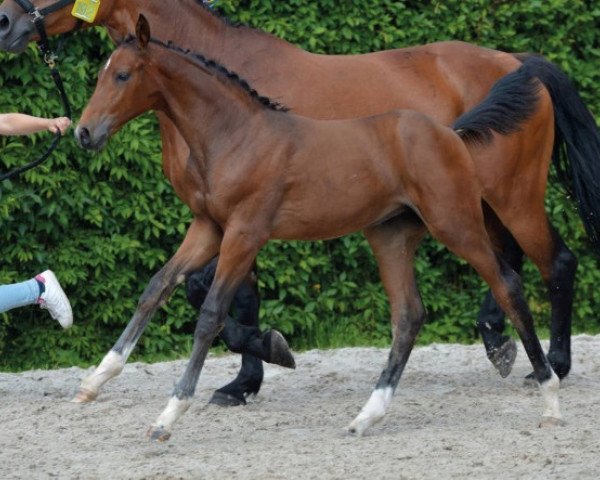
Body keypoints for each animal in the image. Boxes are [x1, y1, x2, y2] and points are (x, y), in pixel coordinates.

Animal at [76, 17, 564, 438]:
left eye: (123, 75)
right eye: (101, 75)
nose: (84, 133)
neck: (236, 134)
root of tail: (452, 134)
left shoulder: (245, 232)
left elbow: (211, 313)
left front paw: (169, 415)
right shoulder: (208, 227)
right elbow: (157, 287)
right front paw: (96, 380)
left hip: (458, 223)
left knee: (509, 284)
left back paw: (550, 395)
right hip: (390, 236)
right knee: (409, 315)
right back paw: (367, 416)